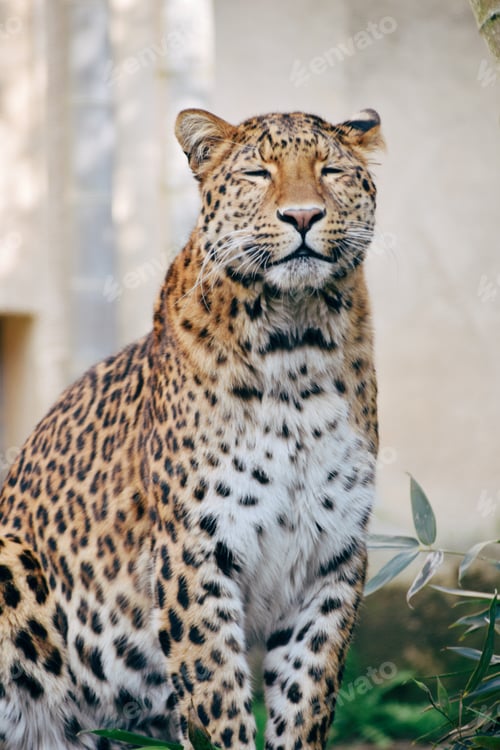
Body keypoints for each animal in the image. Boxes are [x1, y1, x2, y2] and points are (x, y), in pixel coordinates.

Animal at [0, 105, 383, 750]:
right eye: (257, 172)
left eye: (331, 170)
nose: (304, 215)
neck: (297, 346)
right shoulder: (196, 552)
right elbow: (216, 700)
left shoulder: (332, 559)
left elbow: (305, 698)